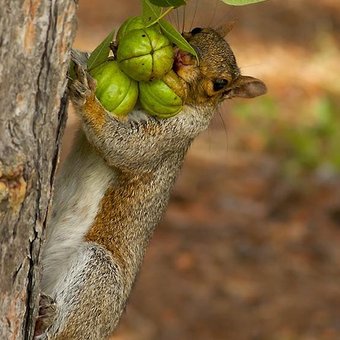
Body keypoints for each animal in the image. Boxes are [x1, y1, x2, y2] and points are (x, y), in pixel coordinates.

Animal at [35, 26, 268, 340]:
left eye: (221, 84)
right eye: (197, 30)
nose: (184, 56)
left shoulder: (170, 136)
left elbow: (123, 144)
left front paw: (87, 99)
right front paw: (79, 53)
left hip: (100, 275)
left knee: (70, 328)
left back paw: (47, 319)